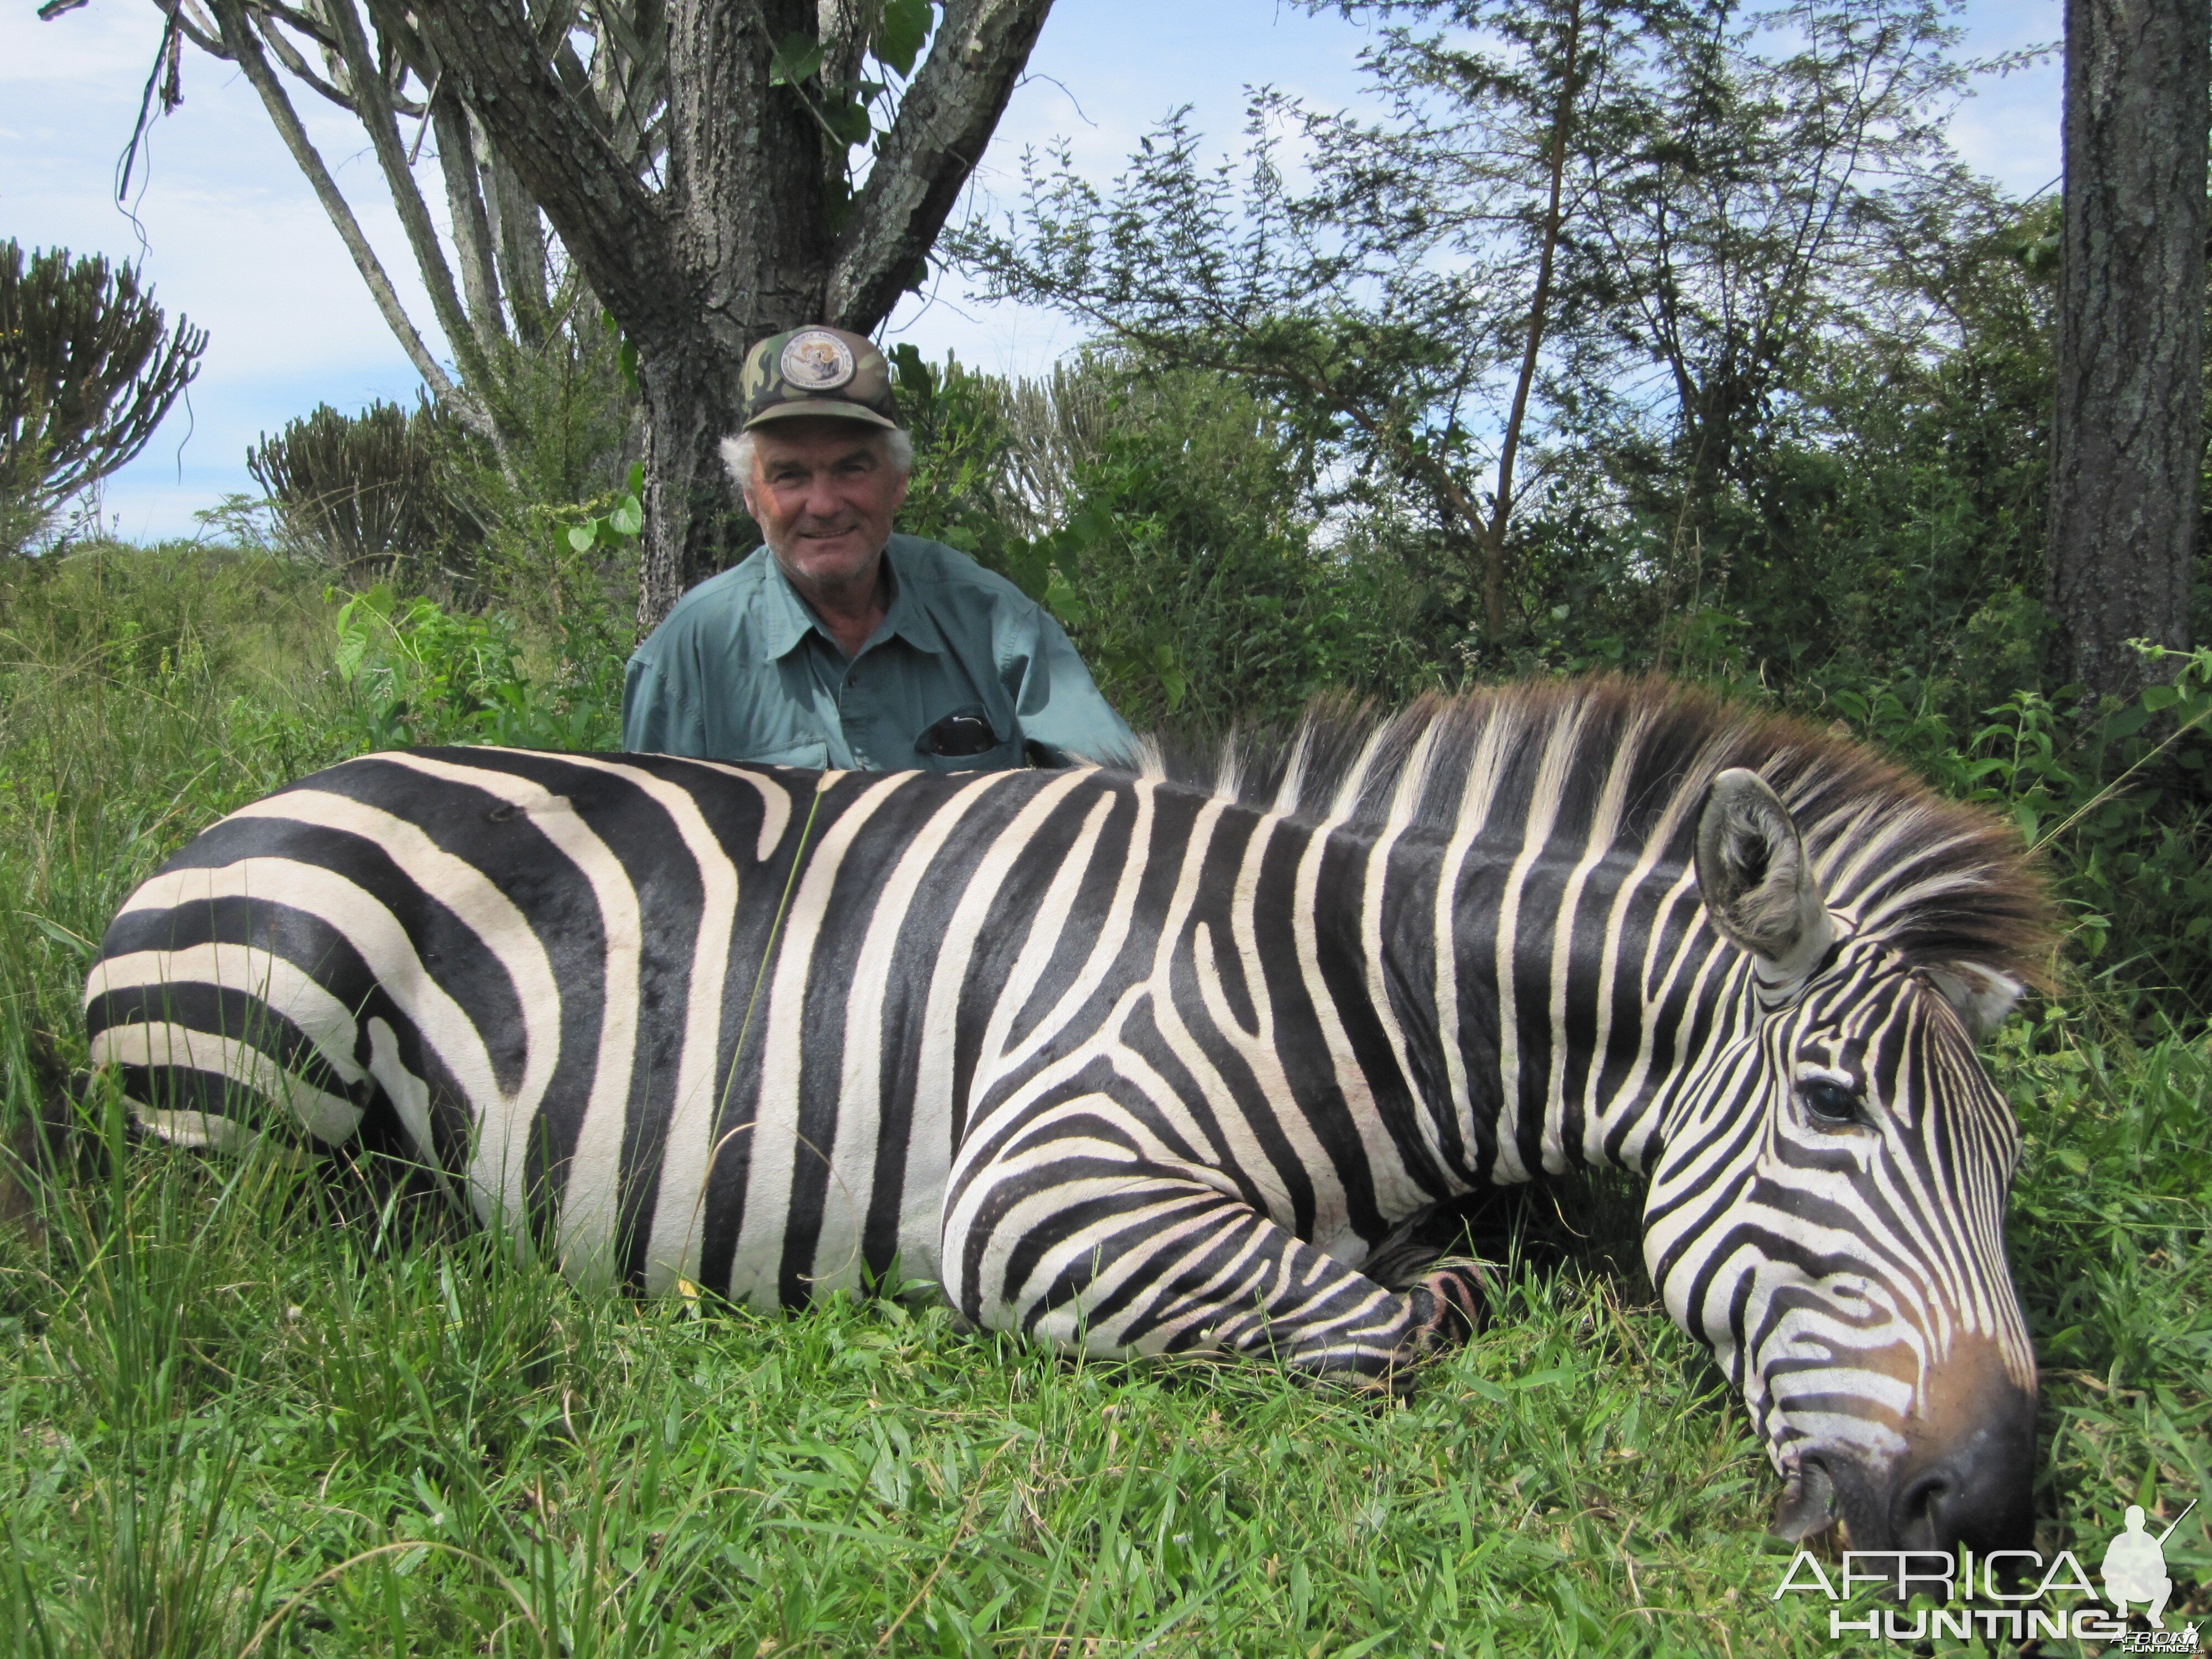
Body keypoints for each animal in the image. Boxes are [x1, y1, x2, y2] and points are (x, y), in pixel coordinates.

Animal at [86, 677, 2053, 1557]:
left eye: (2007, 1173)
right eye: (1826, 1106)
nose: (1988, 1503)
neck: (1340, 979)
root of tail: (244, 804)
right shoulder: (1044, 1187)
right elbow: (1385, 1323)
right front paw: (1426, 1289)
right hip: (251, 1089)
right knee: (256, 1250)